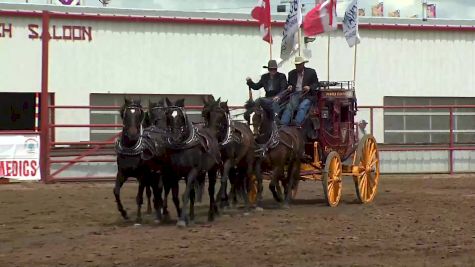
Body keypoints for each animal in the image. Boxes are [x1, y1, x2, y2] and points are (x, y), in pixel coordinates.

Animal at [165, 97, 221, 227]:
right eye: (168, 115)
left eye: (181, 116)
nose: (175, 137)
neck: (182, 145)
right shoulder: (174, 173)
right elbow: (177, 196)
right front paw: (185, 217)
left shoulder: (193, 171)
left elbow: (185, 194)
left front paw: (181, 221)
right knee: (192, 194)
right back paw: (191, 216)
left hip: (212, 170)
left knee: (211, 191)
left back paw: (211, 215)